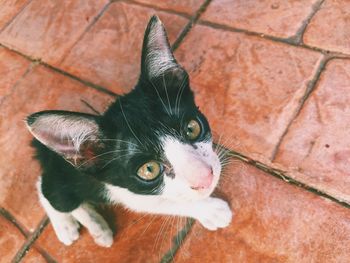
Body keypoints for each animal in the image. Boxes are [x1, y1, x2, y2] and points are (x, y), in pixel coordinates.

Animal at [25, 16, 232, 248]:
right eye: (149, 169)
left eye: (192, 128)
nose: (205, 178)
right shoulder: (131, 193)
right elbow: (168, 202)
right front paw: (211, 210)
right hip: (61, 186)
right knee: (46, 191)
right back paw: (72, 226)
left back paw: (96, 225)